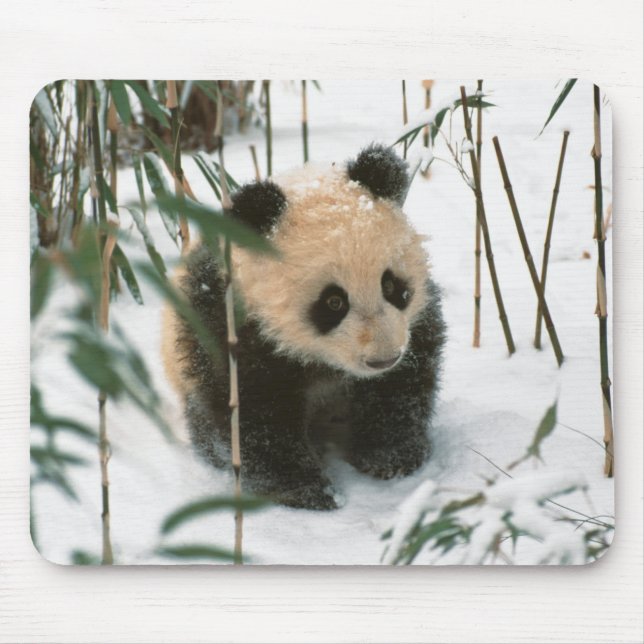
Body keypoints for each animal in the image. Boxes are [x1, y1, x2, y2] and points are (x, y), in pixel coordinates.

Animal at [161, 143, 446, 510]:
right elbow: (253, 414)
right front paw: (307, 490)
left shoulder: (414, 326)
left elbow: (400, 387)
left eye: (391, 286)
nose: (382, 359)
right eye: (333, 302)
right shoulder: (229, 327)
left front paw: (391, 457)